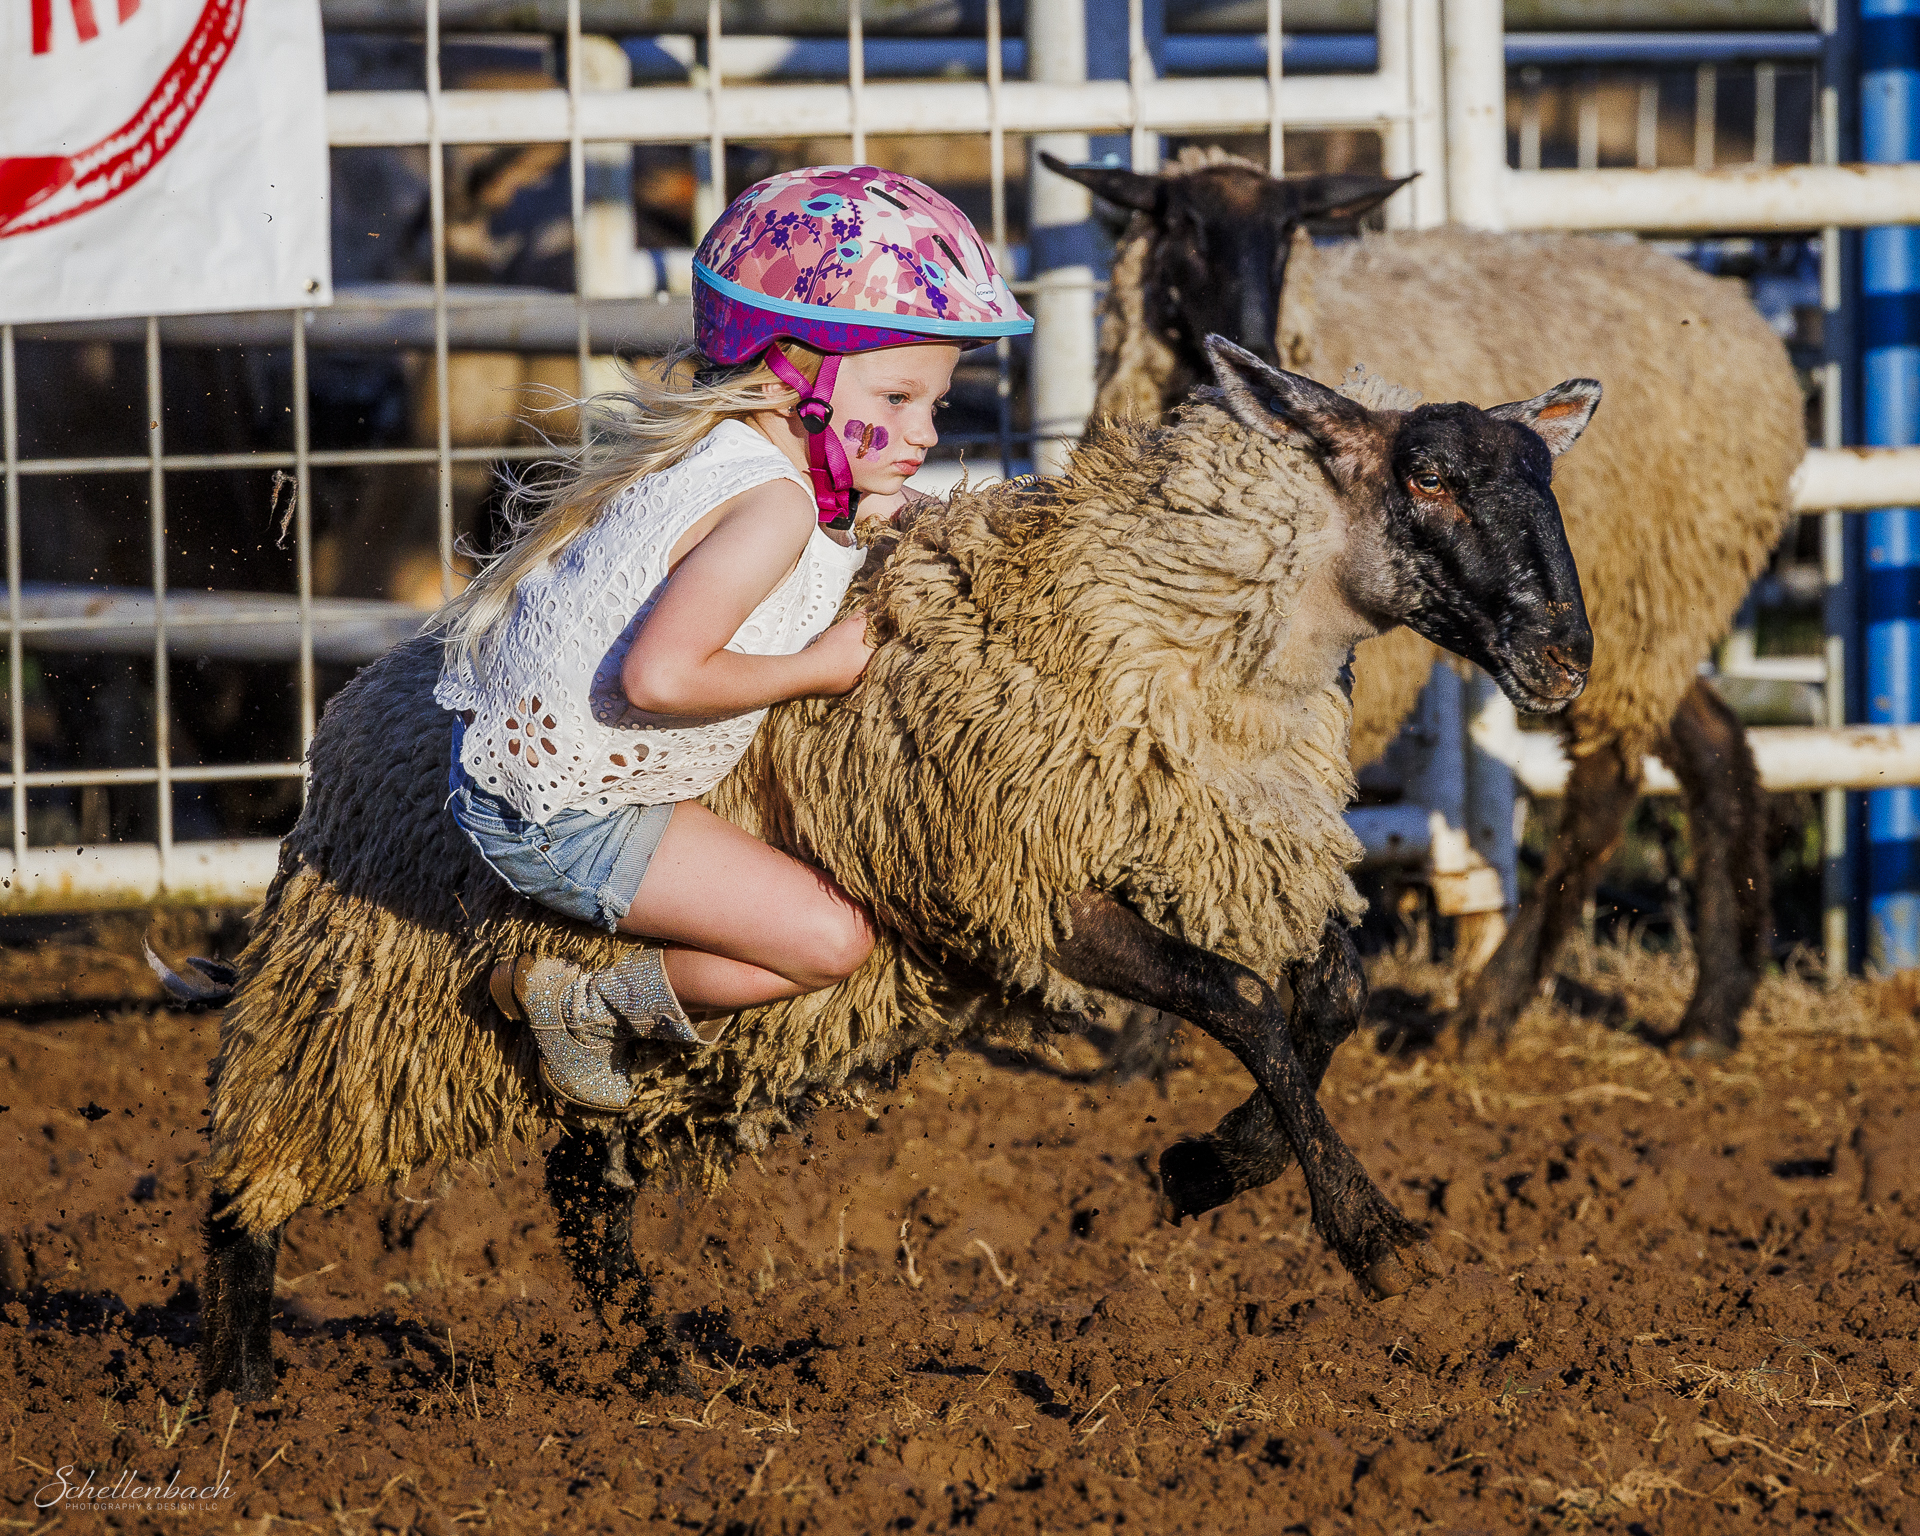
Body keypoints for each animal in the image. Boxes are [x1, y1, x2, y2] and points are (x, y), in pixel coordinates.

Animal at [188, 339, 1598, 1403]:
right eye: (1430, 476)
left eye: (1544, 476)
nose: (1565, 657)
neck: (1154, 621)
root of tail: (366, 695)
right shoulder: (1030, 886)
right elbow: (1245, 1006)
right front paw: (1368, 1235)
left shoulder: (1212, 850)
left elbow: (1331, 998)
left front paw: (1211, 1169)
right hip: (356, 995)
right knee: (252, 1167)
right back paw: (236, 1383)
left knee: (585, 1187)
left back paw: (664, 1373)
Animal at [1048, 148, 1806, 1055]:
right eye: (1182, 227)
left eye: (1290, 231)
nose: (1255, 342)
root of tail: (1740, 316)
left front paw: (1144, 1047)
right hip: (1637, 613)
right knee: (1717, 747)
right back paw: (1711, 1013)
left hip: (1631, 597)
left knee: (1605, 788)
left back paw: (1488, 1011)